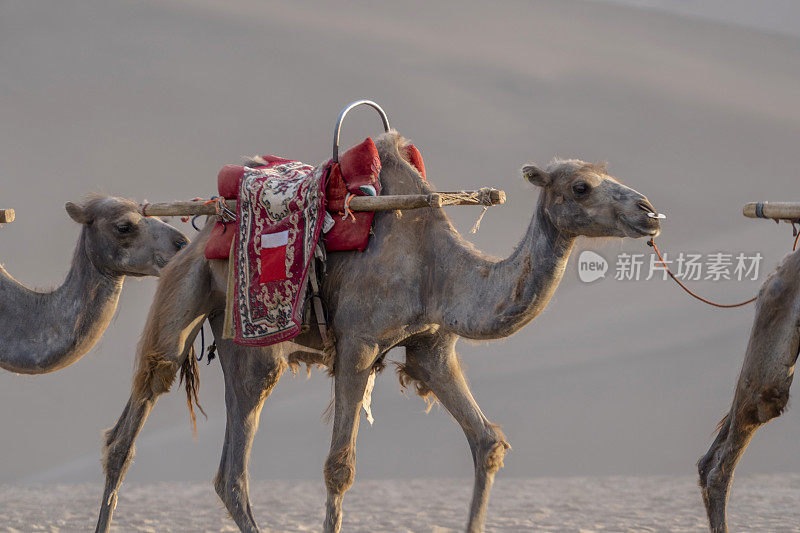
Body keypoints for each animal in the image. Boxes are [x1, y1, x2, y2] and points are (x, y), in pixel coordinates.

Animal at [94, 130, 664, 532]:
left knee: (231, 472)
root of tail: (202, 226)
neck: (436, 269)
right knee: (134, 419)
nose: (649, 212)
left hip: (249, 346)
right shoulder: (358, 343)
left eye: (607, 175)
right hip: (183, 291)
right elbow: (338, 467)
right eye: (581, 186)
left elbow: (487, 441)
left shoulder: (432, 348)